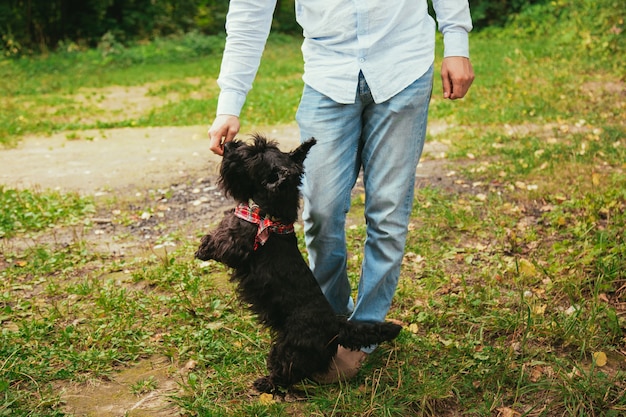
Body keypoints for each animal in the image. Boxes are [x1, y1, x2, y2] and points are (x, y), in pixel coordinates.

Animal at [194, 134, 400, 394]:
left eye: (255, 154)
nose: (230, 143)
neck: (271, 213)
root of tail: (336, 326)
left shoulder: (237, 245)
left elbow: (220, 243)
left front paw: (202, 250)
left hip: (289, 349)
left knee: (286, 372)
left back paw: (266, 383)